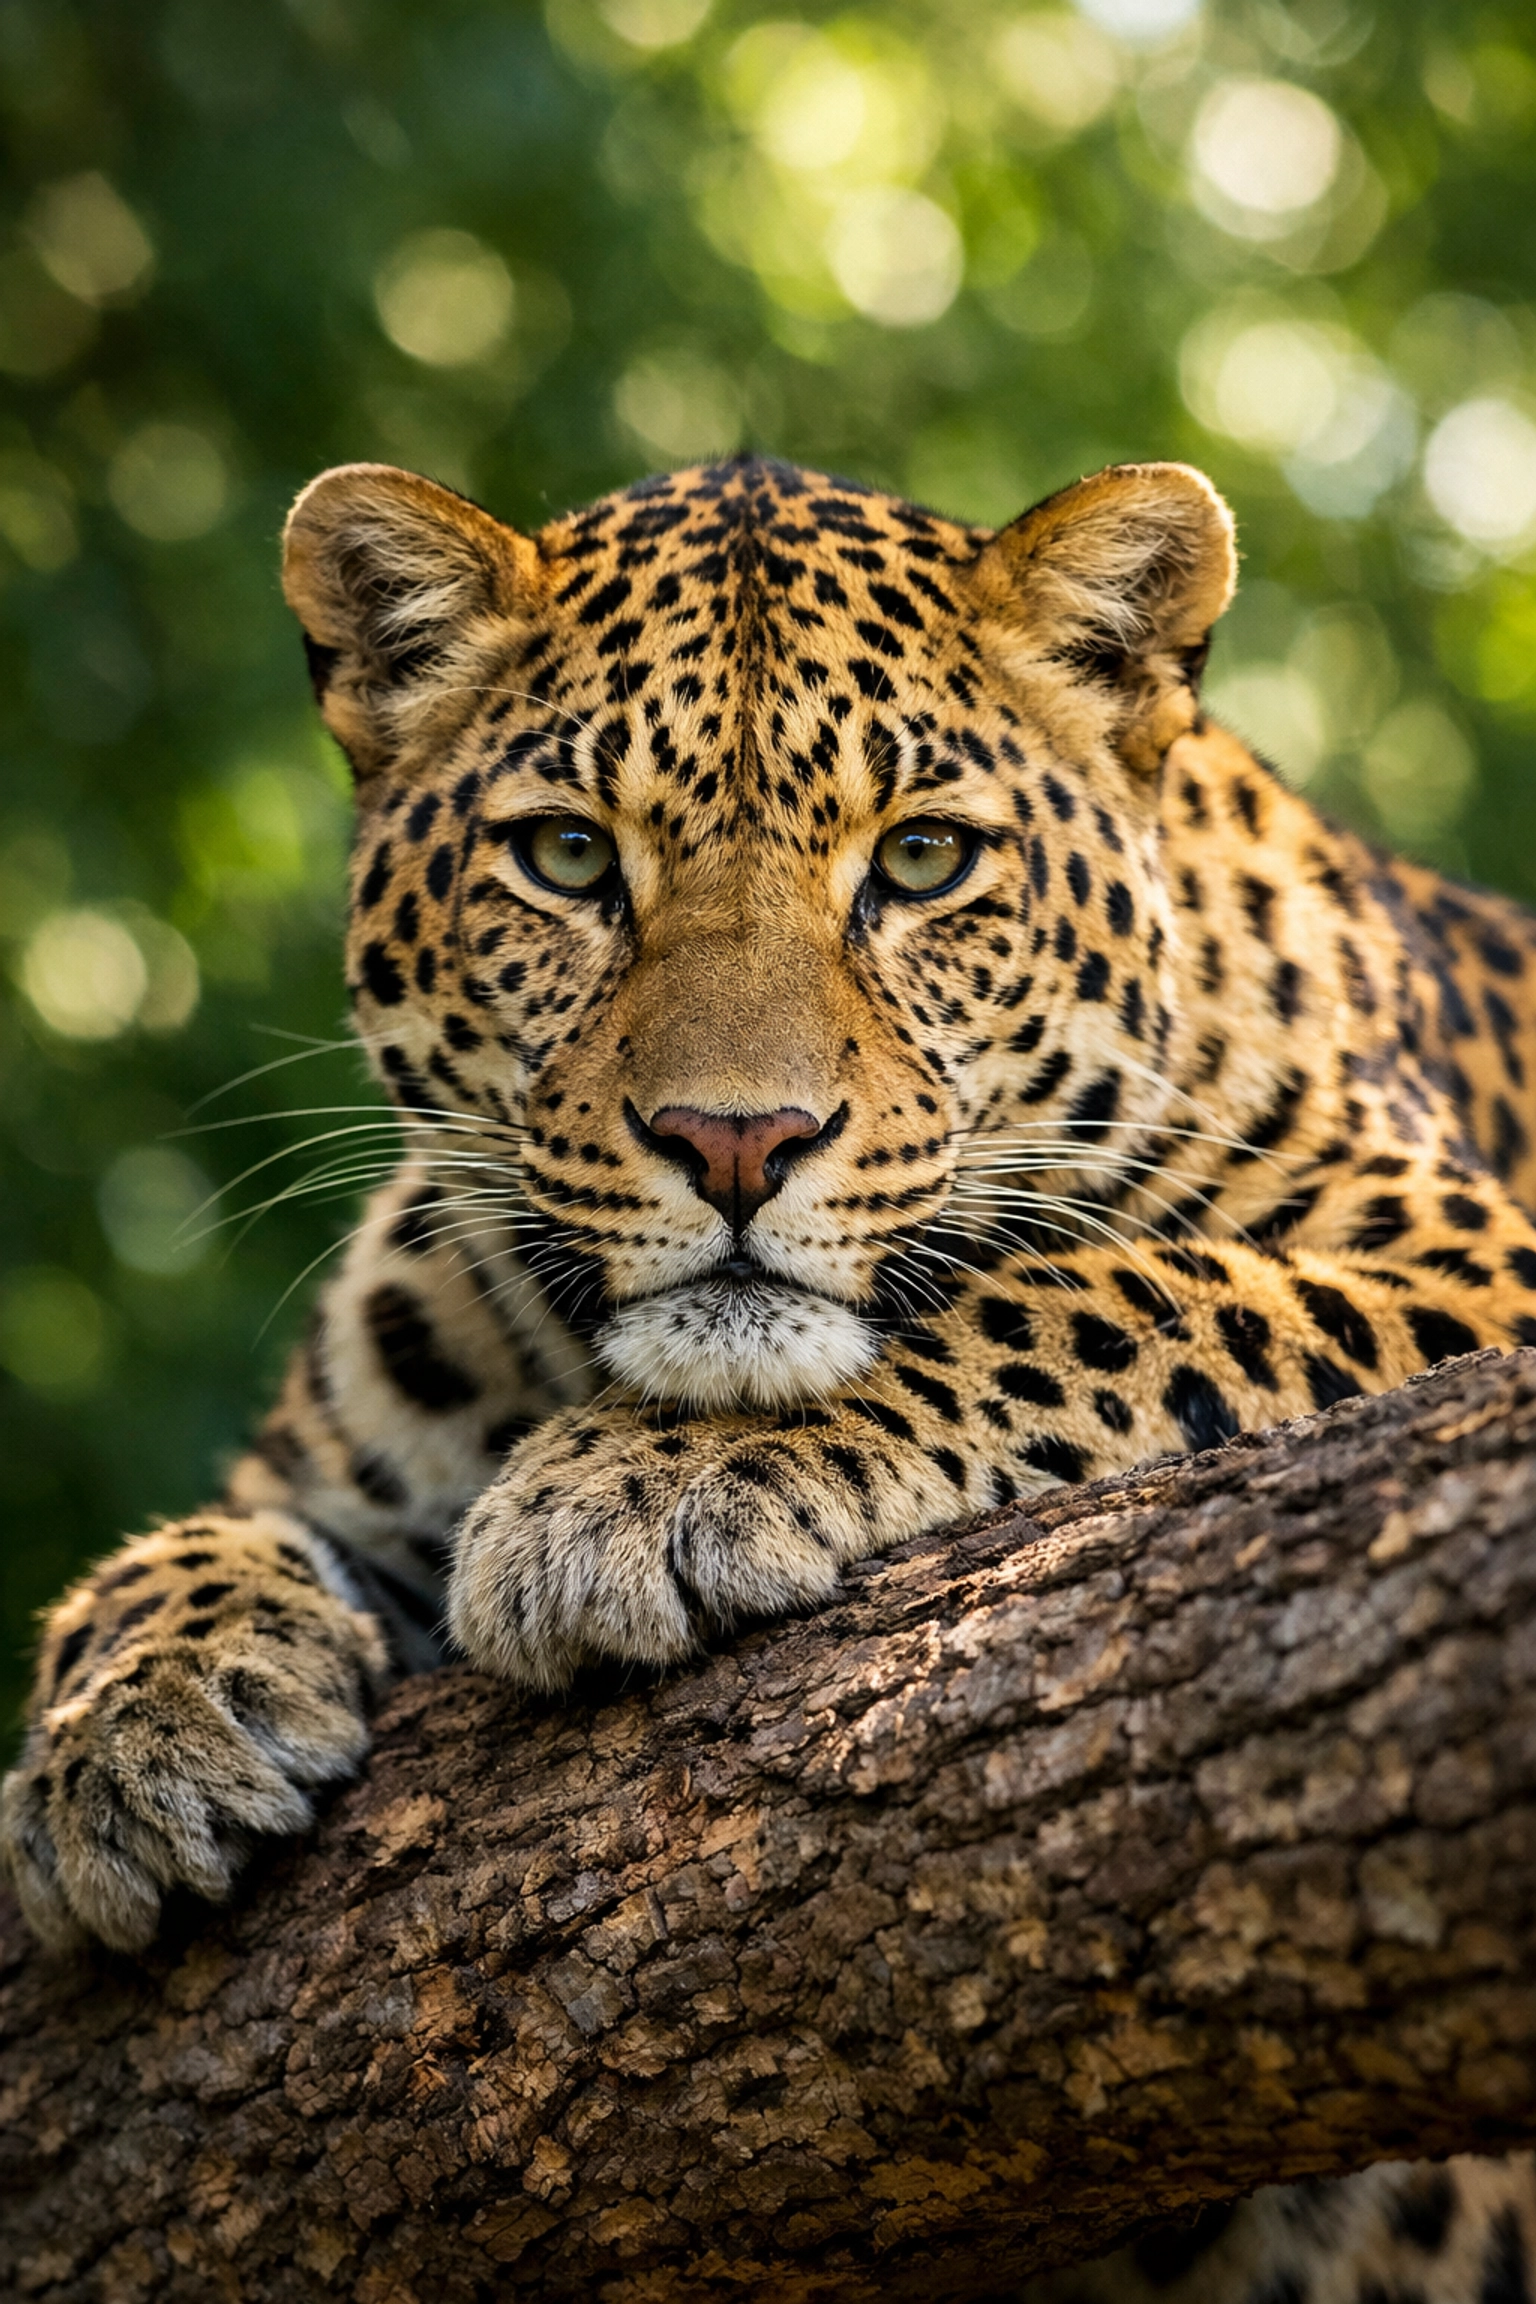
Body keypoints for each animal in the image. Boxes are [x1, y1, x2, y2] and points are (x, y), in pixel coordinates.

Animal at [7, 451, 1536, 2304]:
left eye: (926, 857)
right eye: (568, 854)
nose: (736, 1139)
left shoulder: (1470, 1260)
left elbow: (1104, 1290)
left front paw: (627, 1491)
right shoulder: (319, 1471)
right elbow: (169, 1551)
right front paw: (132, 1734)